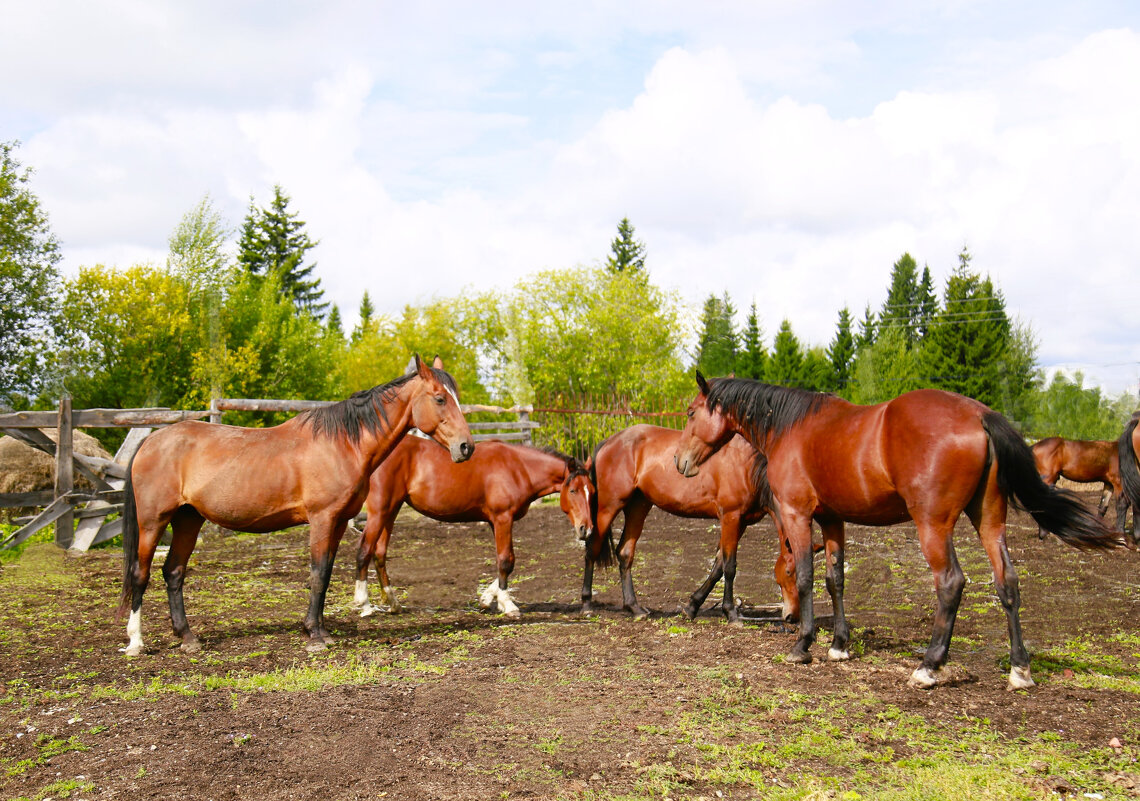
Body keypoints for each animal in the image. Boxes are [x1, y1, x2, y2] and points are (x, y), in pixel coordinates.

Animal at [115, 357, 471, 656]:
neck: (343, 443)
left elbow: (326, 573)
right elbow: (317, 573)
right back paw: (136, 642)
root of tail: (151, 441)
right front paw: (313, 635)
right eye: (440, 398)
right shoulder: (322, 519)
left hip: (188, 520)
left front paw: (321, 631)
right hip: (153, 522)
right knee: (140, 574)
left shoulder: (338, 522)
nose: (466, 447)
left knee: (173, 572)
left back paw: (188, 637)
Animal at [351, 437, 592, 619]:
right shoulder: (503, 519)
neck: (517, 468)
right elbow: (506, 560)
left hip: (391, 510)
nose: (586, 529)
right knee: (364, 551)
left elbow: (507, 561)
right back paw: (364, 605)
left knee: (379, 553)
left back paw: (392, 602)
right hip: (379, 512)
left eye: (591, 490)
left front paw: (487, 598)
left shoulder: (496, 522)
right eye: (573, 490)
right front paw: (508, 604)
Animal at [579, 423, 802, 624]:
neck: (747, 465)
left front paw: (692, 607)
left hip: (638, 506)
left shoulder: (741, 523)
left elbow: (718, 567)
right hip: (607, 508)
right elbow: (729, 567)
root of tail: (610, 441)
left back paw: (634, 608)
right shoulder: (731, 518)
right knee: (592, 549)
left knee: (625, 553)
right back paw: (587, 604)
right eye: (789, 572)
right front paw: (731, 613)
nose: (792, 617)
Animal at [670, 373, 1117, 688]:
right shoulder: (832, 519)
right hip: (990, 520)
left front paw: (803, 644)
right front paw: (839, 645)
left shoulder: (798, 514)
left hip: (932, 526)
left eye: (691, 412)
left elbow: (806, 576)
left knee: (951, 583)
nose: (679, 461)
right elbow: (835, 579)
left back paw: (929, 666)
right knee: (1007, 581)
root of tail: (979, 415)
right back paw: (1019, 669)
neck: (791, 427)